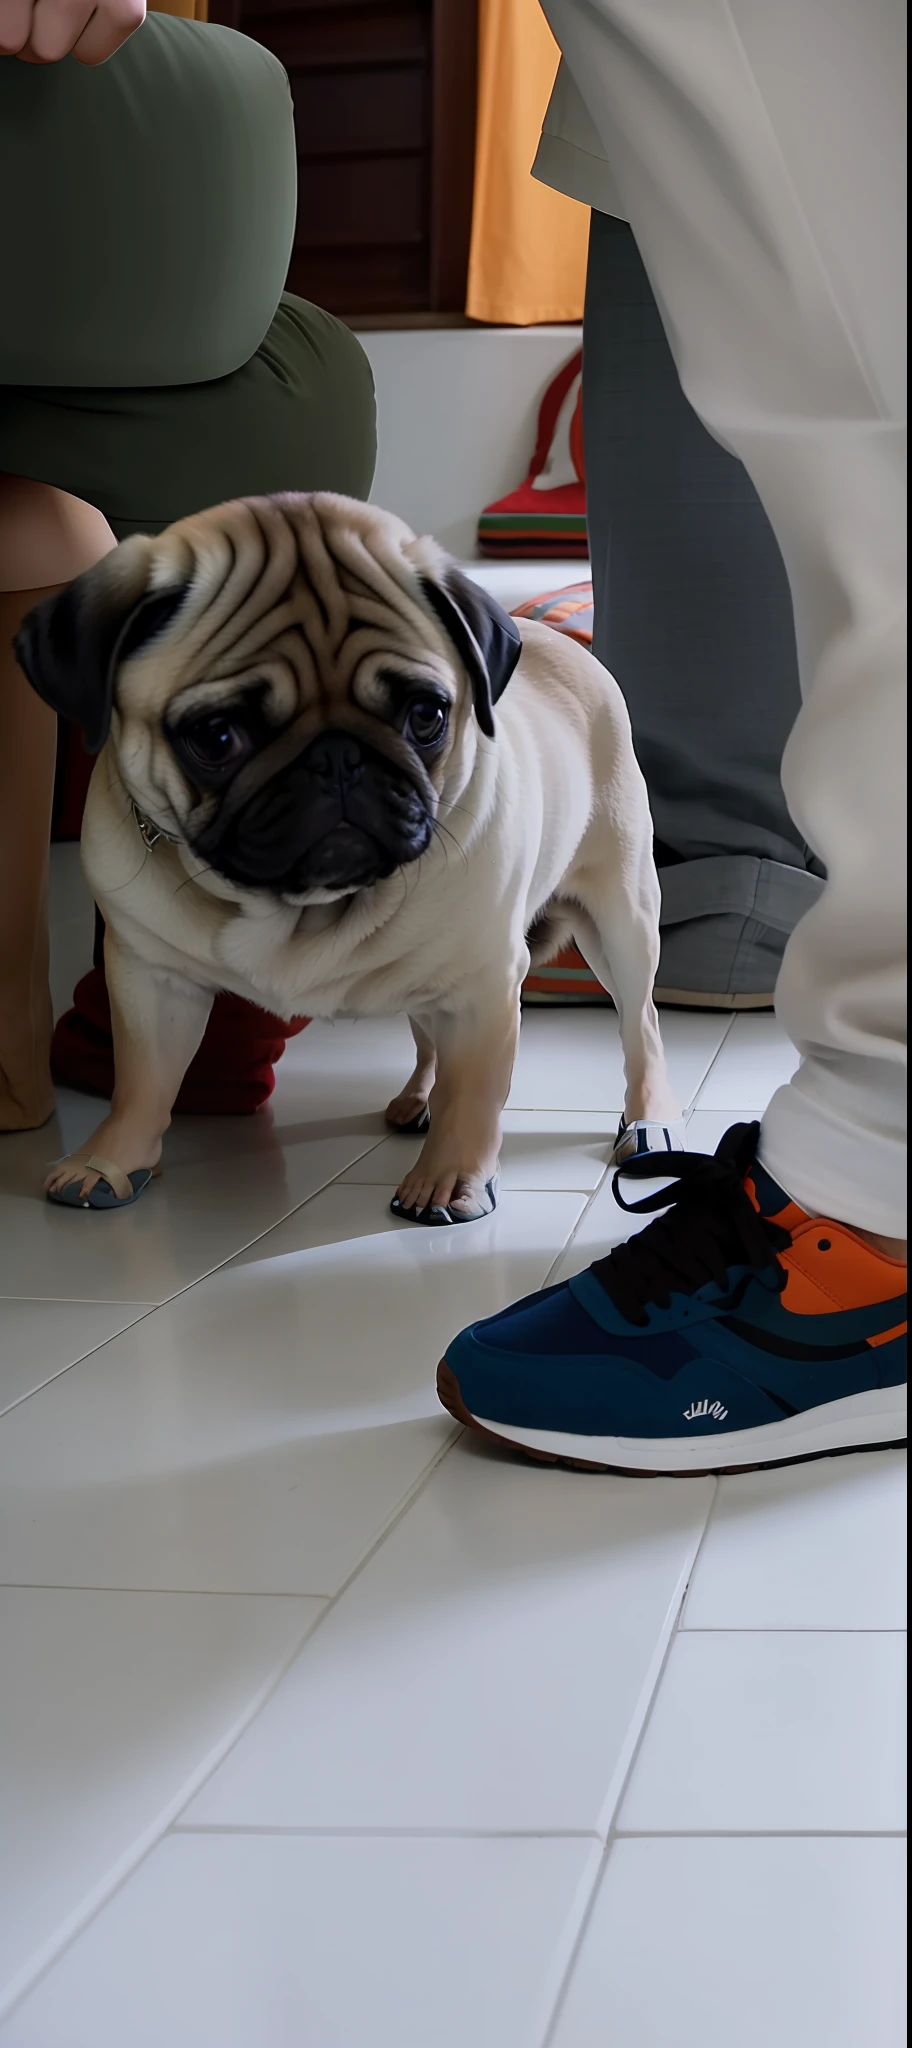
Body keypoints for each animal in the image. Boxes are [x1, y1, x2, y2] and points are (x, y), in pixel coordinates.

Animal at [16, 493, 676, 1212]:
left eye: (427, 716)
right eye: (216, 737)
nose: (337, 758)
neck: (299, 907)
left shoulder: (483, 983)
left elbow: (475, 1095)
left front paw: (451, 1178)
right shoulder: (150, 978)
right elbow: (141, 1083)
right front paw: (109, 1161)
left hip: (620, 921)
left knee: (639, 1026)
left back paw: (648, 1121)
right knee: (428, 1043)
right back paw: (418, 1099)